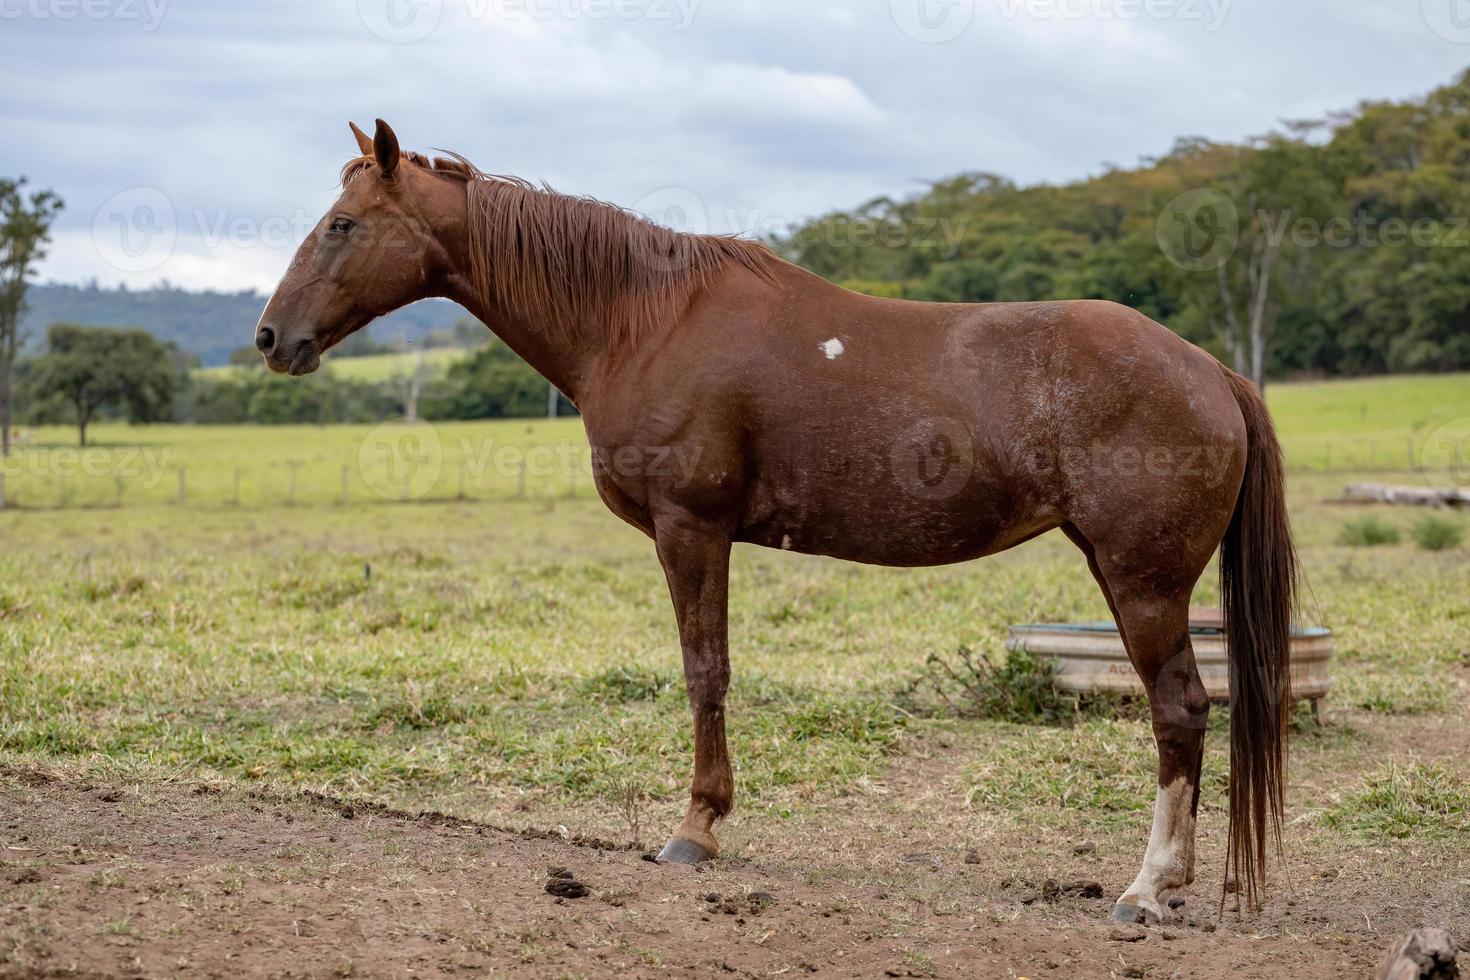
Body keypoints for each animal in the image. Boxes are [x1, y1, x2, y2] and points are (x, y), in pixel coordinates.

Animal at [258, 119, 1293, 922]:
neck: (645, 318)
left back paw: (1148, 888)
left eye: (343, 225)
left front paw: (695, 830)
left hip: (1142, 582)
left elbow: (705, 672)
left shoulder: (692, 529)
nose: (272, 337)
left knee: (1180, 711)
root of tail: (1212, 369)